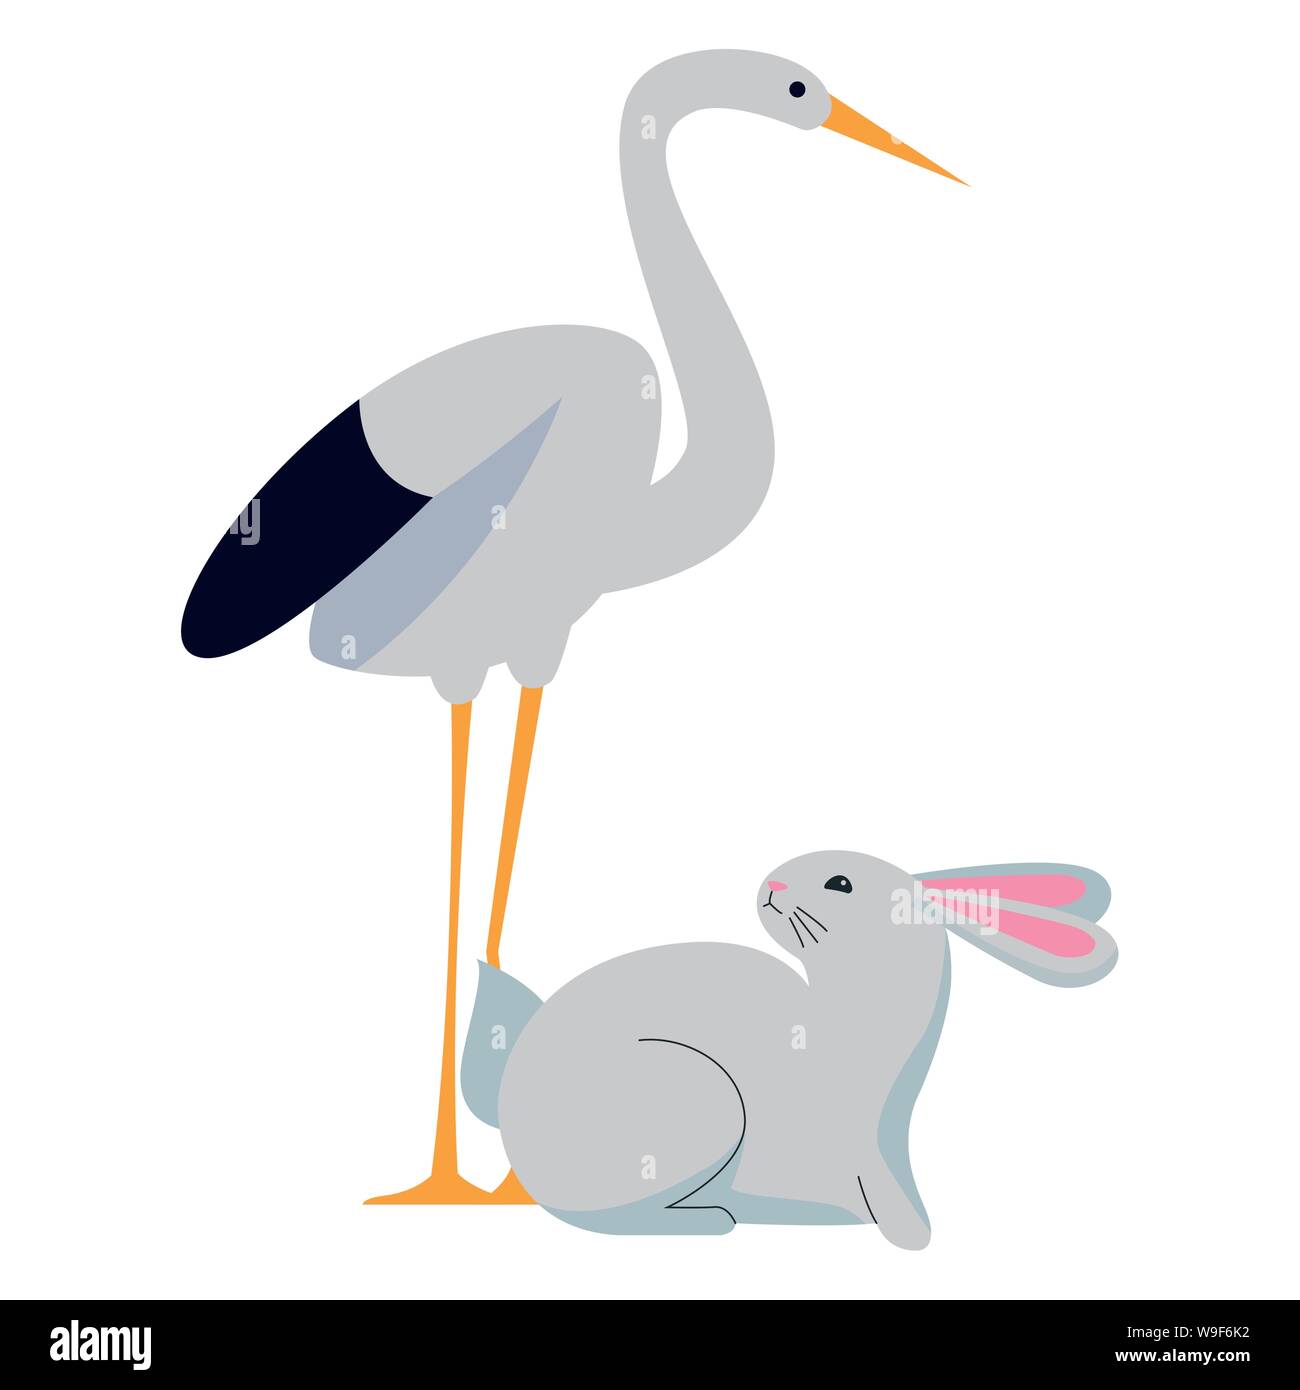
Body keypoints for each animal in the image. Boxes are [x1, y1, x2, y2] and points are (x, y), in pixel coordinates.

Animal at [461, 850, 1116, 1247]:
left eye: (840, 882)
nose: (770, 883)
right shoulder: (863, 1149)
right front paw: (912, 1234)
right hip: (705, 1105)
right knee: (598, 1218)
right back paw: (717, 1220)